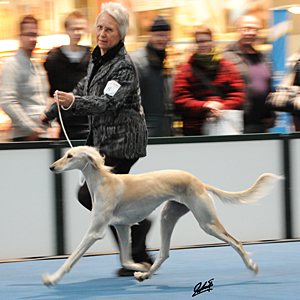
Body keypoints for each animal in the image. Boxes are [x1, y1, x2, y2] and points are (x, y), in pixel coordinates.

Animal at [42, 146, 282, 288]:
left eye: (70, 156)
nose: (52, 167)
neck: (103, 182)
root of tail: (199, 182)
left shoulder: (95, 232)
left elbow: (71, 259)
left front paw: (52, 278)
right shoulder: (122, 227)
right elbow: (126, 259)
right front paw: (140, 268)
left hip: (207, 222)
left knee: (236, 241)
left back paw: (252, 266)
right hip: (169, 214)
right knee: (164, 253)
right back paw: (146, 274)